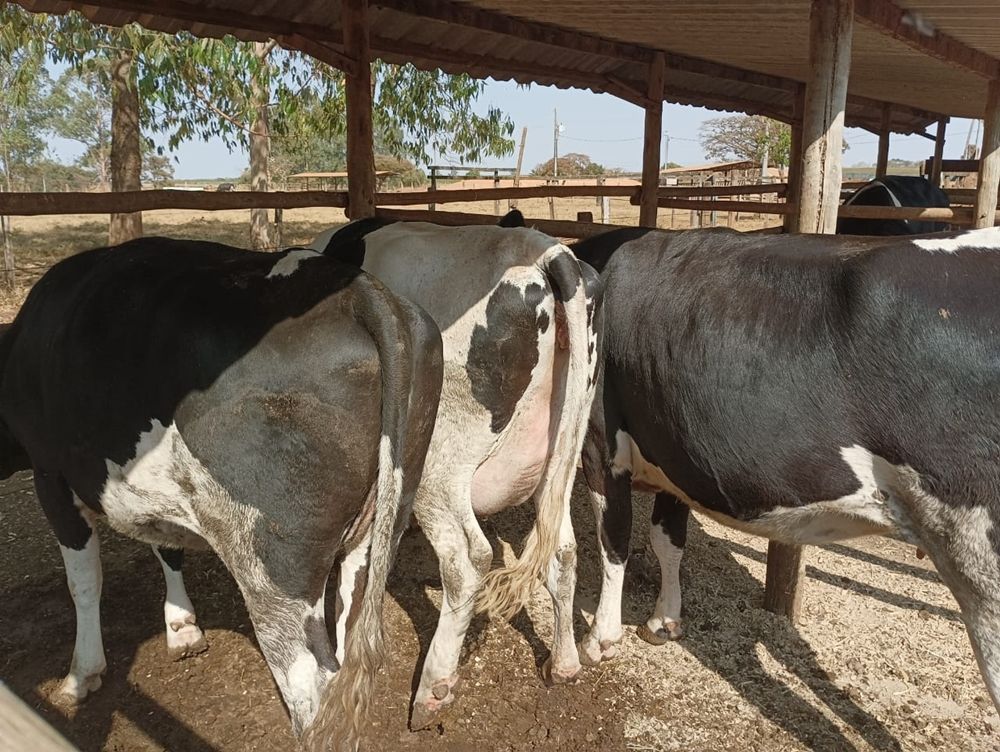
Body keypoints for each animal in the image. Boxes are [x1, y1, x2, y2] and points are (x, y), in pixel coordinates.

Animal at [0, 238, 446, 748]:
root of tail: (358, 291)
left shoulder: (50, 475)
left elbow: (83, 581)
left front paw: (81, 675)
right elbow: (166, 547)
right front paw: (182, 628)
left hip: (271, 563)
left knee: (312, 684)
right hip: (379, 526)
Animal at [312, 219, 596, 728]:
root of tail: (548, 250)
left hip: (436, 463)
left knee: (469, 559)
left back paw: (433, 689)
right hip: (560, 459)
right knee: (562, 550)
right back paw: (563, 664)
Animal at [576, 226, 1000, 720]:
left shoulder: (600, 441)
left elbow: (614, 539)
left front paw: (600, 639)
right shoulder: (674, 449)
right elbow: (667, 540)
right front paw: (664, 620)